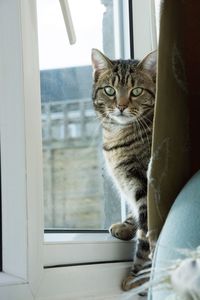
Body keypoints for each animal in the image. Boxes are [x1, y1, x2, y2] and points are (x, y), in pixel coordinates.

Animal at [91, 48, 157, 290]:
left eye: (136, 91)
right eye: (109, 90)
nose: (121, 106)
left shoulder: (142, 183)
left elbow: (145, 238)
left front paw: (137, 276)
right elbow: (134, 214)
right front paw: (126, 226)